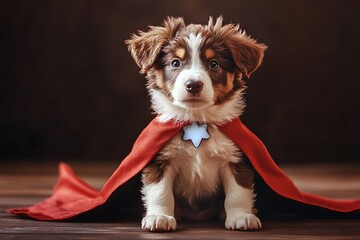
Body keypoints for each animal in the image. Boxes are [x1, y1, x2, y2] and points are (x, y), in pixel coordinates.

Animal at [125, 16, 266, 231]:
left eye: (214, 64)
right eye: (175, 63)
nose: (193, 85)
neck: (197, 119)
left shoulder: (235, 157)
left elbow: (238, 192)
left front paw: (241, 217)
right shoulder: (160, 158)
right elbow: (160, 191)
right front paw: (159, 217)